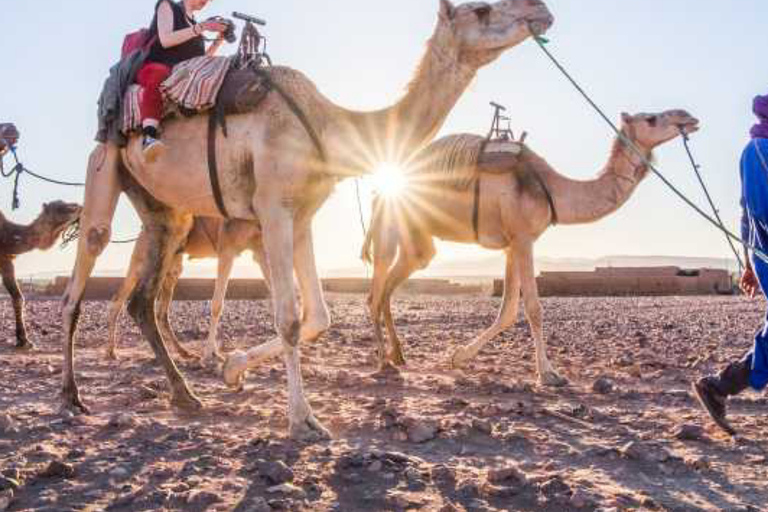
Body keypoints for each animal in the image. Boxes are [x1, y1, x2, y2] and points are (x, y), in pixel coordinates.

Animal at [352, 110, 700, 386]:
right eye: (651, 118)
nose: (688, 118)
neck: (552, 189)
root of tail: (380, 189)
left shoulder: (512, 245)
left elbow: (508, 310)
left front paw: (460, 356)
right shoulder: (522, 238)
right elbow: (533, 307)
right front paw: (549, 373)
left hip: (418, 240)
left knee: (393, 285)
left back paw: (398, 355)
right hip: (390, 223)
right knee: (374, 292)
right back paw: (383, 361)